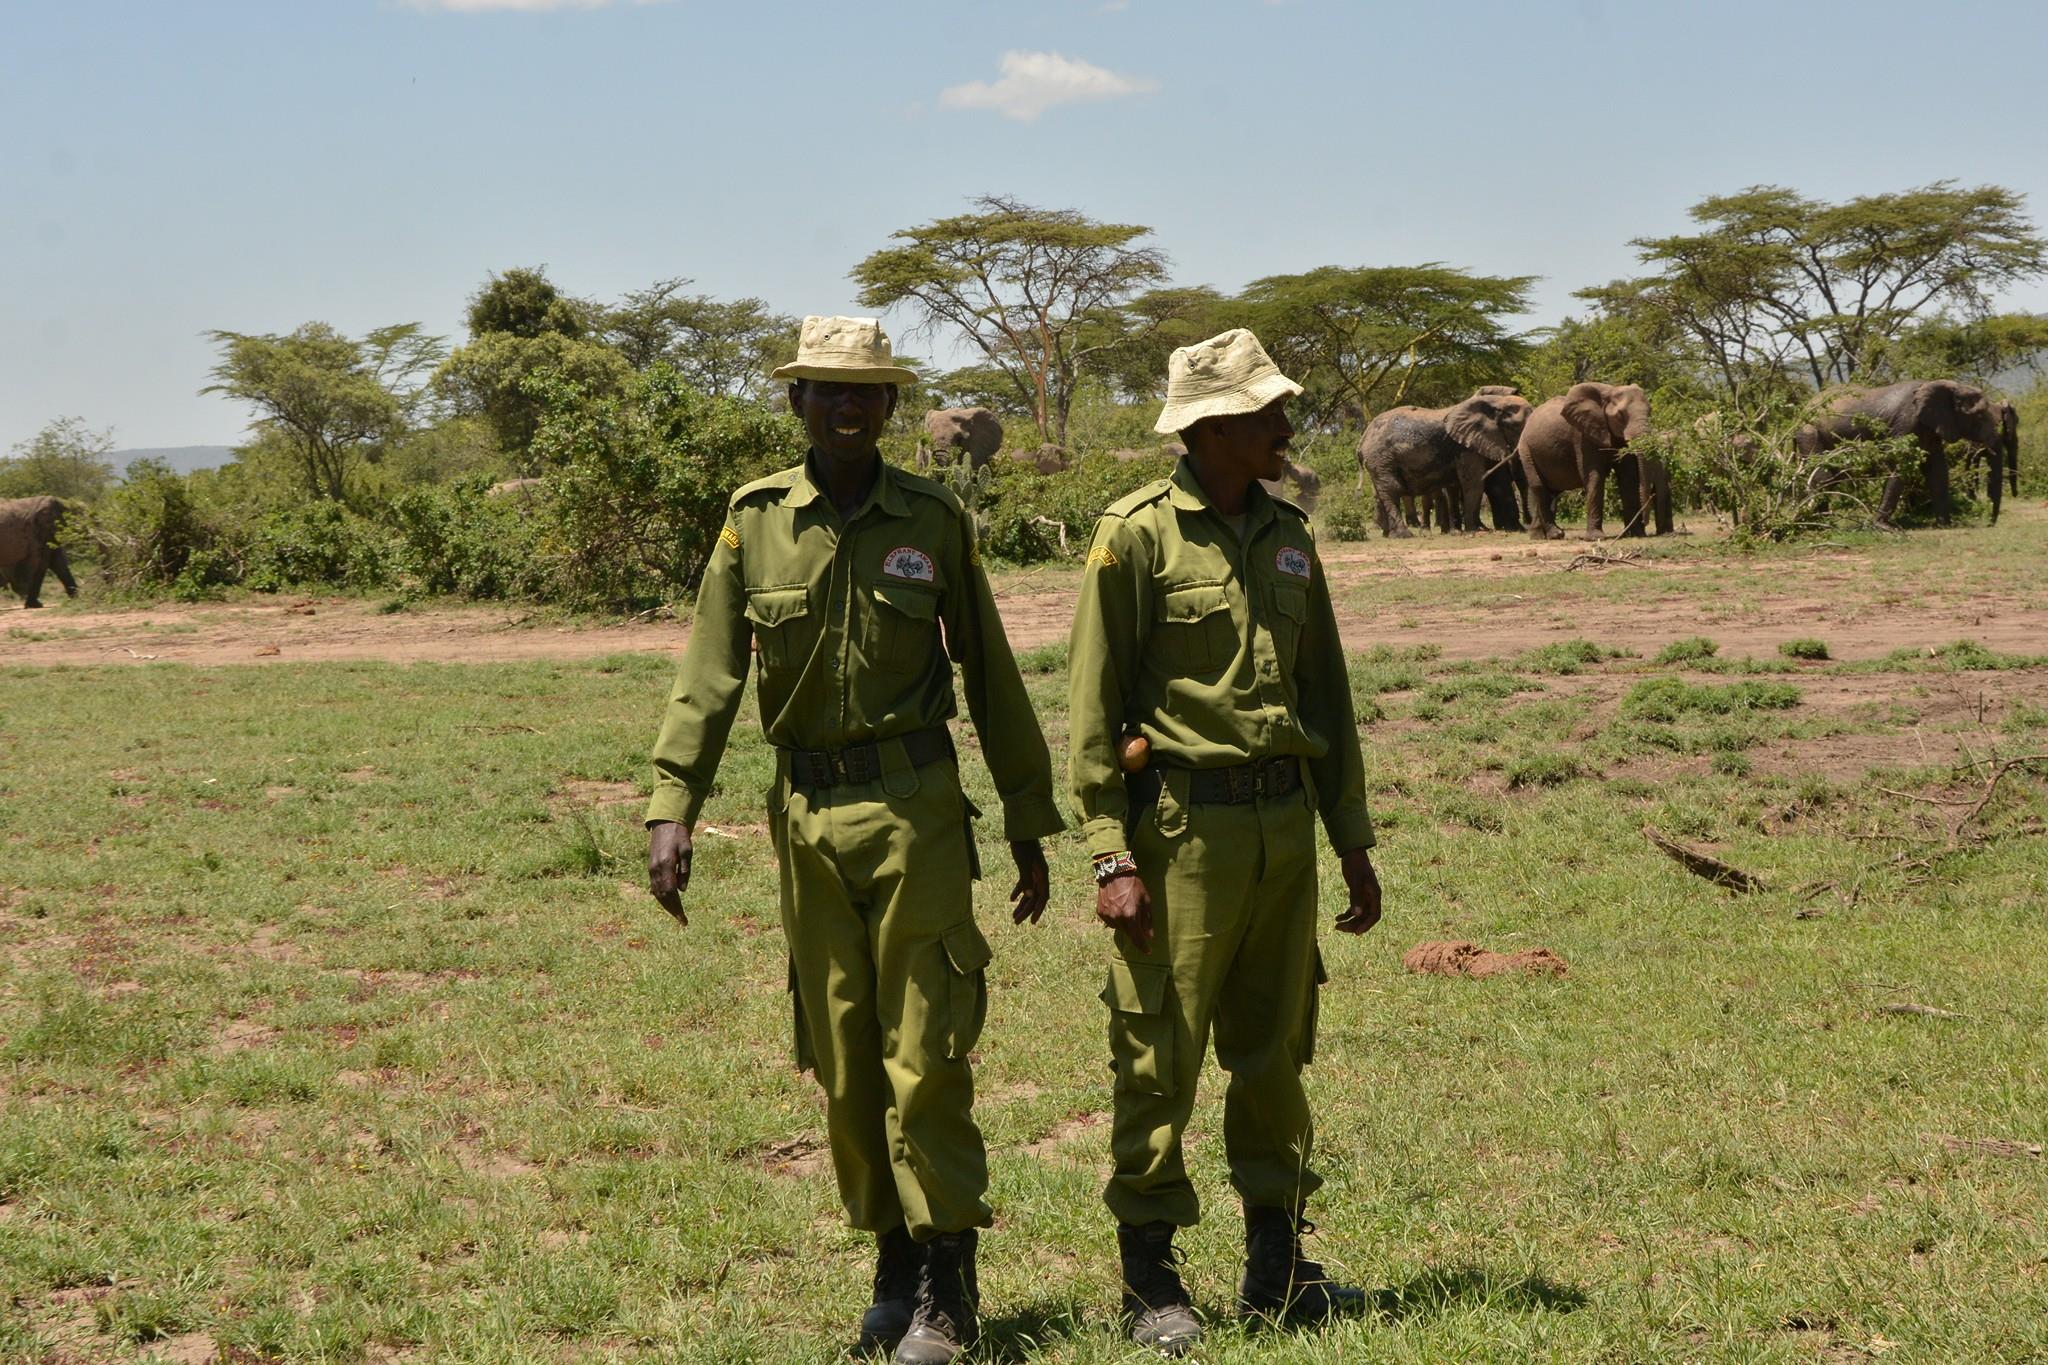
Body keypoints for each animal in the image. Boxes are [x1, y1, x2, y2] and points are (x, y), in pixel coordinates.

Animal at [1359, 386, 1540, 536]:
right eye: (1517, 427)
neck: (1495, 404)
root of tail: (1363, 438)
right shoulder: (1466, 447)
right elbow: (1474, 483)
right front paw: (1473, 531)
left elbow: (1496, 482)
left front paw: (1513, 529)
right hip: (1381, 457)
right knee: (1392, 489)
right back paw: (1403, 535)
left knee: (1382, 491)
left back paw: (1387, 534)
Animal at [1515, 384, 1654, 540]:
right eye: (1620, 415)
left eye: (1650, 411)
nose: (1645, 522)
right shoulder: (1582, 437)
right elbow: (1594, 476)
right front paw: (1595, 538)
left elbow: (1628, 478)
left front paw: (1636, 534)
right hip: (1526, 450)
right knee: (1539, 487)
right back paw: (1555, 534)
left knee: (1549, 491)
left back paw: (1538, 536)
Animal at [1794, 378, 1998, 527]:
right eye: (1979, 415)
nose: (1990, 523)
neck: (1946, 385)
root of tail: (1803, 409)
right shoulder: (1905, 423)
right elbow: (1899, 465)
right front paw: (1882, 527)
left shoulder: (1932, 429)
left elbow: (1937, 470)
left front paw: (1946, 525)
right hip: (1810, 432)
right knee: (1823, 476)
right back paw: (1816, 523)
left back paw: (1816, 522)